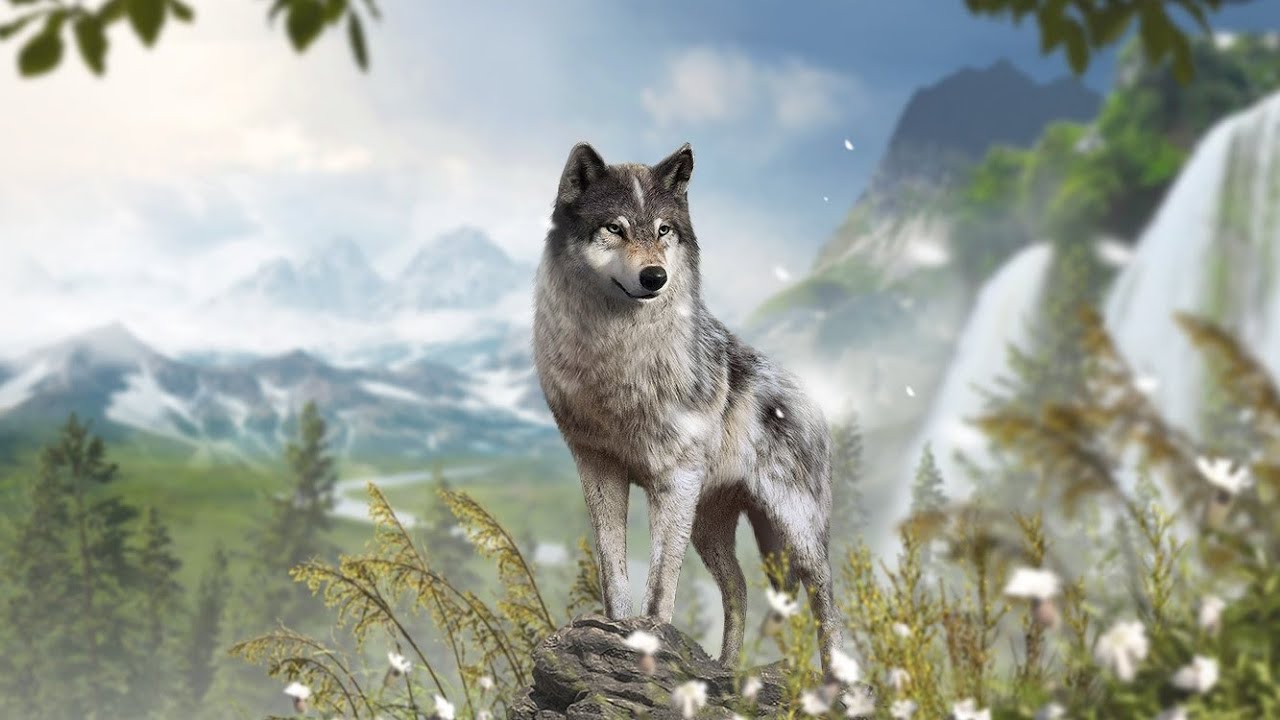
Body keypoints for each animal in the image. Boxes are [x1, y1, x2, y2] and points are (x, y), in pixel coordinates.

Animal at [532, 141, 844, 670]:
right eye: (614, 228)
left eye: (663, 230)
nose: (654, 276)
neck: (620, 362)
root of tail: (815, 400)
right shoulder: (599, 470)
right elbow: (615, 573)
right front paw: (617, 629)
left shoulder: (673, 482)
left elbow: (661, 585)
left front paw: (651, 641)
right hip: (708, 526)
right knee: (738, 588)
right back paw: (726, 669)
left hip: (795, 530)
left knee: (826, 601)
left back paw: (839, 680)